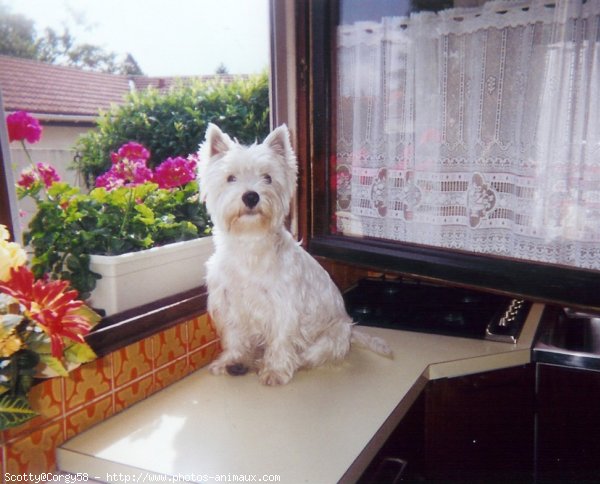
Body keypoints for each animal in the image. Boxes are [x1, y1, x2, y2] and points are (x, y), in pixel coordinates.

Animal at [199, 125, 392, 386]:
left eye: (268, 178)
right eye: (231, 178)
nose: (251, 196)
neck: (249, 242)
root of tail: (351, 329)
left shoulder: (283, 305)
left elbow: (281, 339)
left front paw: (275, 371)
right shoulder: (230, 302)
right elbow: (235, 335)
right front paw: (233, 360)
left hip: (333, 335)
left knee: (309, 355)